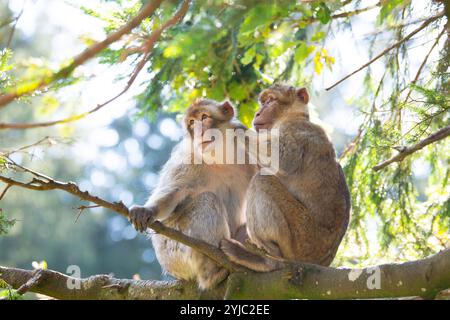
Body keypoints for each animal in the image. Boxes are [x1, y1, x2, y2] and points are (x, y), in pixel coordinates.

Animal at [129, 99, 256, 290]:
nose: (198, 131)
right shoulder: (187, 160)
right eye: (191, 123)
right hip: (174, 254)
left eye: (204, 117)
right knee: (207, 200)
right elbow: (172, 195)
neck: (220, 157)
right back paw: (213, 273)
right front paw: (147, 210)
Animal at [220, 84, 350, 272]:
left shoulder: (295, 130)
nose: (258, 112)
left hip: (301, 239)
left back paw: (267, 259)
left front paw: (232, 127)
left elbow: (285, 159)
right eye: (263, 101)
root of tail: (321, 262)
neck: (292, 116)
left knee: (262, 181)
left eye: (271, 100)